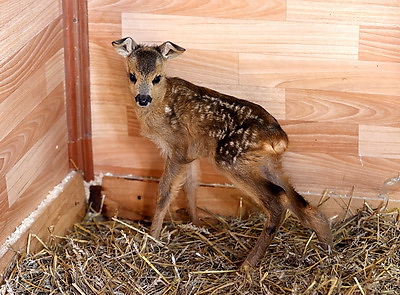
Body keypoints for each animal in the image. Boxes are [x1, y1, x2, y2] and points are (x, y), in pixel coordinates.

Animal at [111, 36, 332, 270]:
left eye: (157, 78)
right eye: (132, 76)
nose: (143, 98)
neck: (162, 104)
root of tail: (278, 139)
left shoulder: (178, 148)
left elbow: (165, 192)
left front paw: (153, 237)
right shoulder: (191, 152)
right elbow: (191, 186)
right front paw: (196, 223)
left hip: (231, 159)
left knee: (278, 198)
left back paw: (248, 265)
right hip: (267, 163)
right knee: (300, 201)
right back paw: (327, 247)